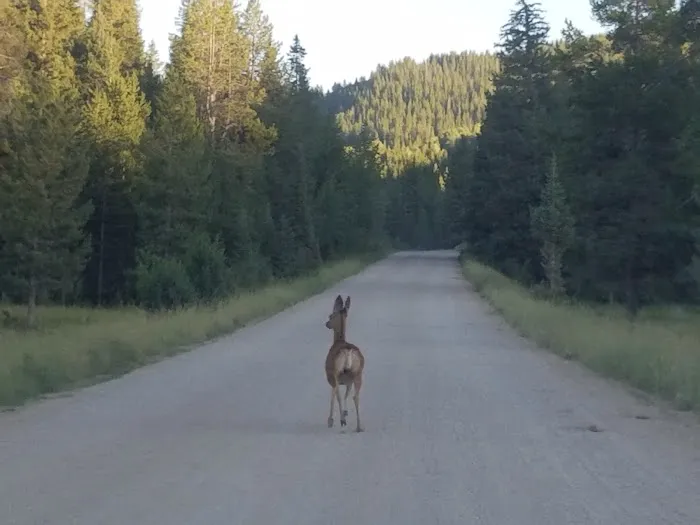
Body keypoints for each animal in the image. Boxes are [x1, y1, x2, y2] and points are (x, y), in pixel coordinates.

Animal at [324, 294, 365, 432]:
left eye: (331, 315)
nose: (326, 323)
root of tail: (348, 351)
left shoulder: (330, 377)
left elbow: (333, 396)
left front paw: (331, 420)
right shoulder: (348, 381)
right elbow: (347, 394)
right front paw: (346, 413)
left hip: (336, 373)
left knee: (338, 395)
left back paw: (341, 421)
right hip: (358, 373)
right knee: (355, 396)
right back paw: (359, 426)